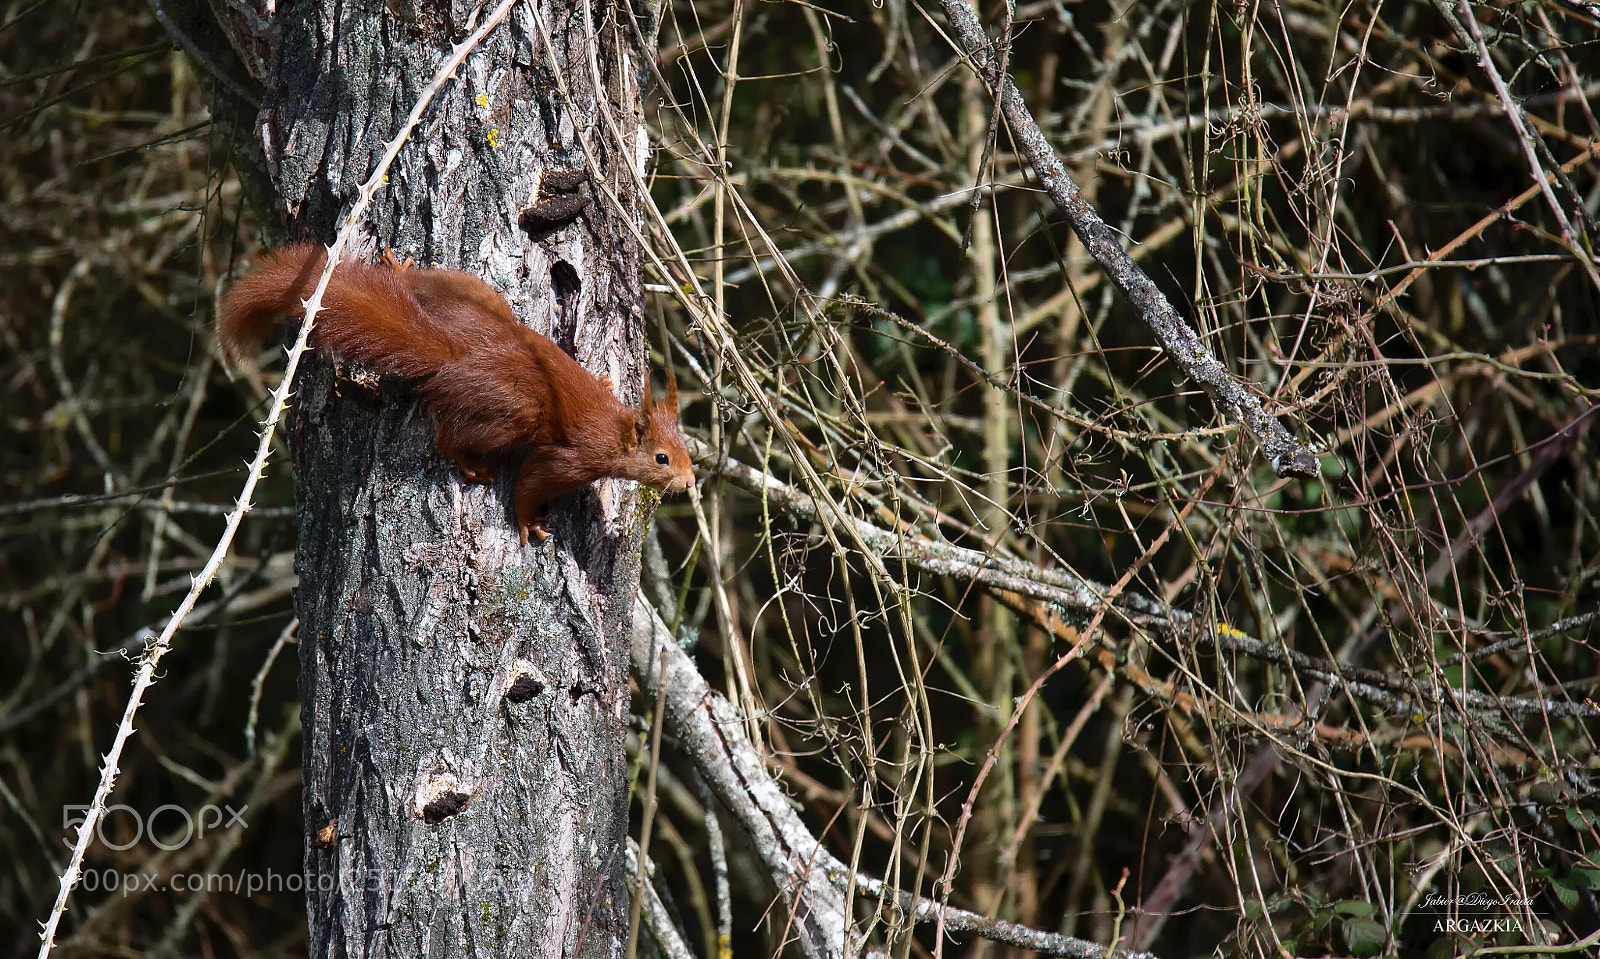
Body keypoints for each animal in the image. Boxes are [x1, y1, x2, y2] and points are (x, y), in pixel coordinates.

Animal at [218, 243, 695, 543]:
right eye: (662, 459)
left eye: (686, 452)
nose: (690, 482)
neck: (615, 427)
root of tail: (455, 355)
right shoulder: (574, 458)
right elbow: (530, 482)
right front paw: (528, 524)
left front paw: (606, 380)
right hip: (512, 411)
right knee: (448, 437)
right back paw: (469, 463)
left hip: (471, 297)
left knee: (425, 287)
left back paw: (401, 272)